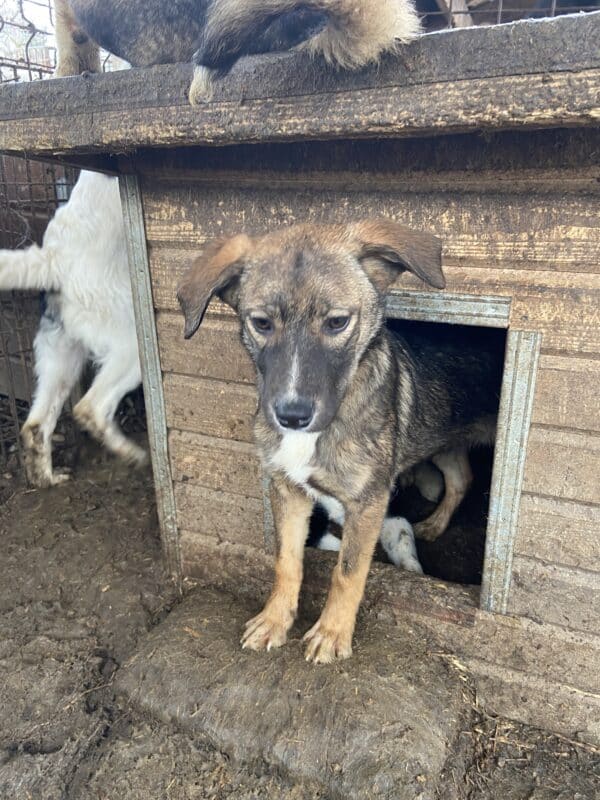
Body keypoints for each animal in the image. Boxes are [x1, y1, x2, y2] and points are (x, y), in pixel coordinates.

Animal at [0, 170, 144, 488]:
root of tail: (54, 258)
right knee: (89, 408)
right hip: (135, 346)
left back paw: (48, 479)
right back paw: (134, 455)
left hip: (59, 359)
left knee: (35, 425)